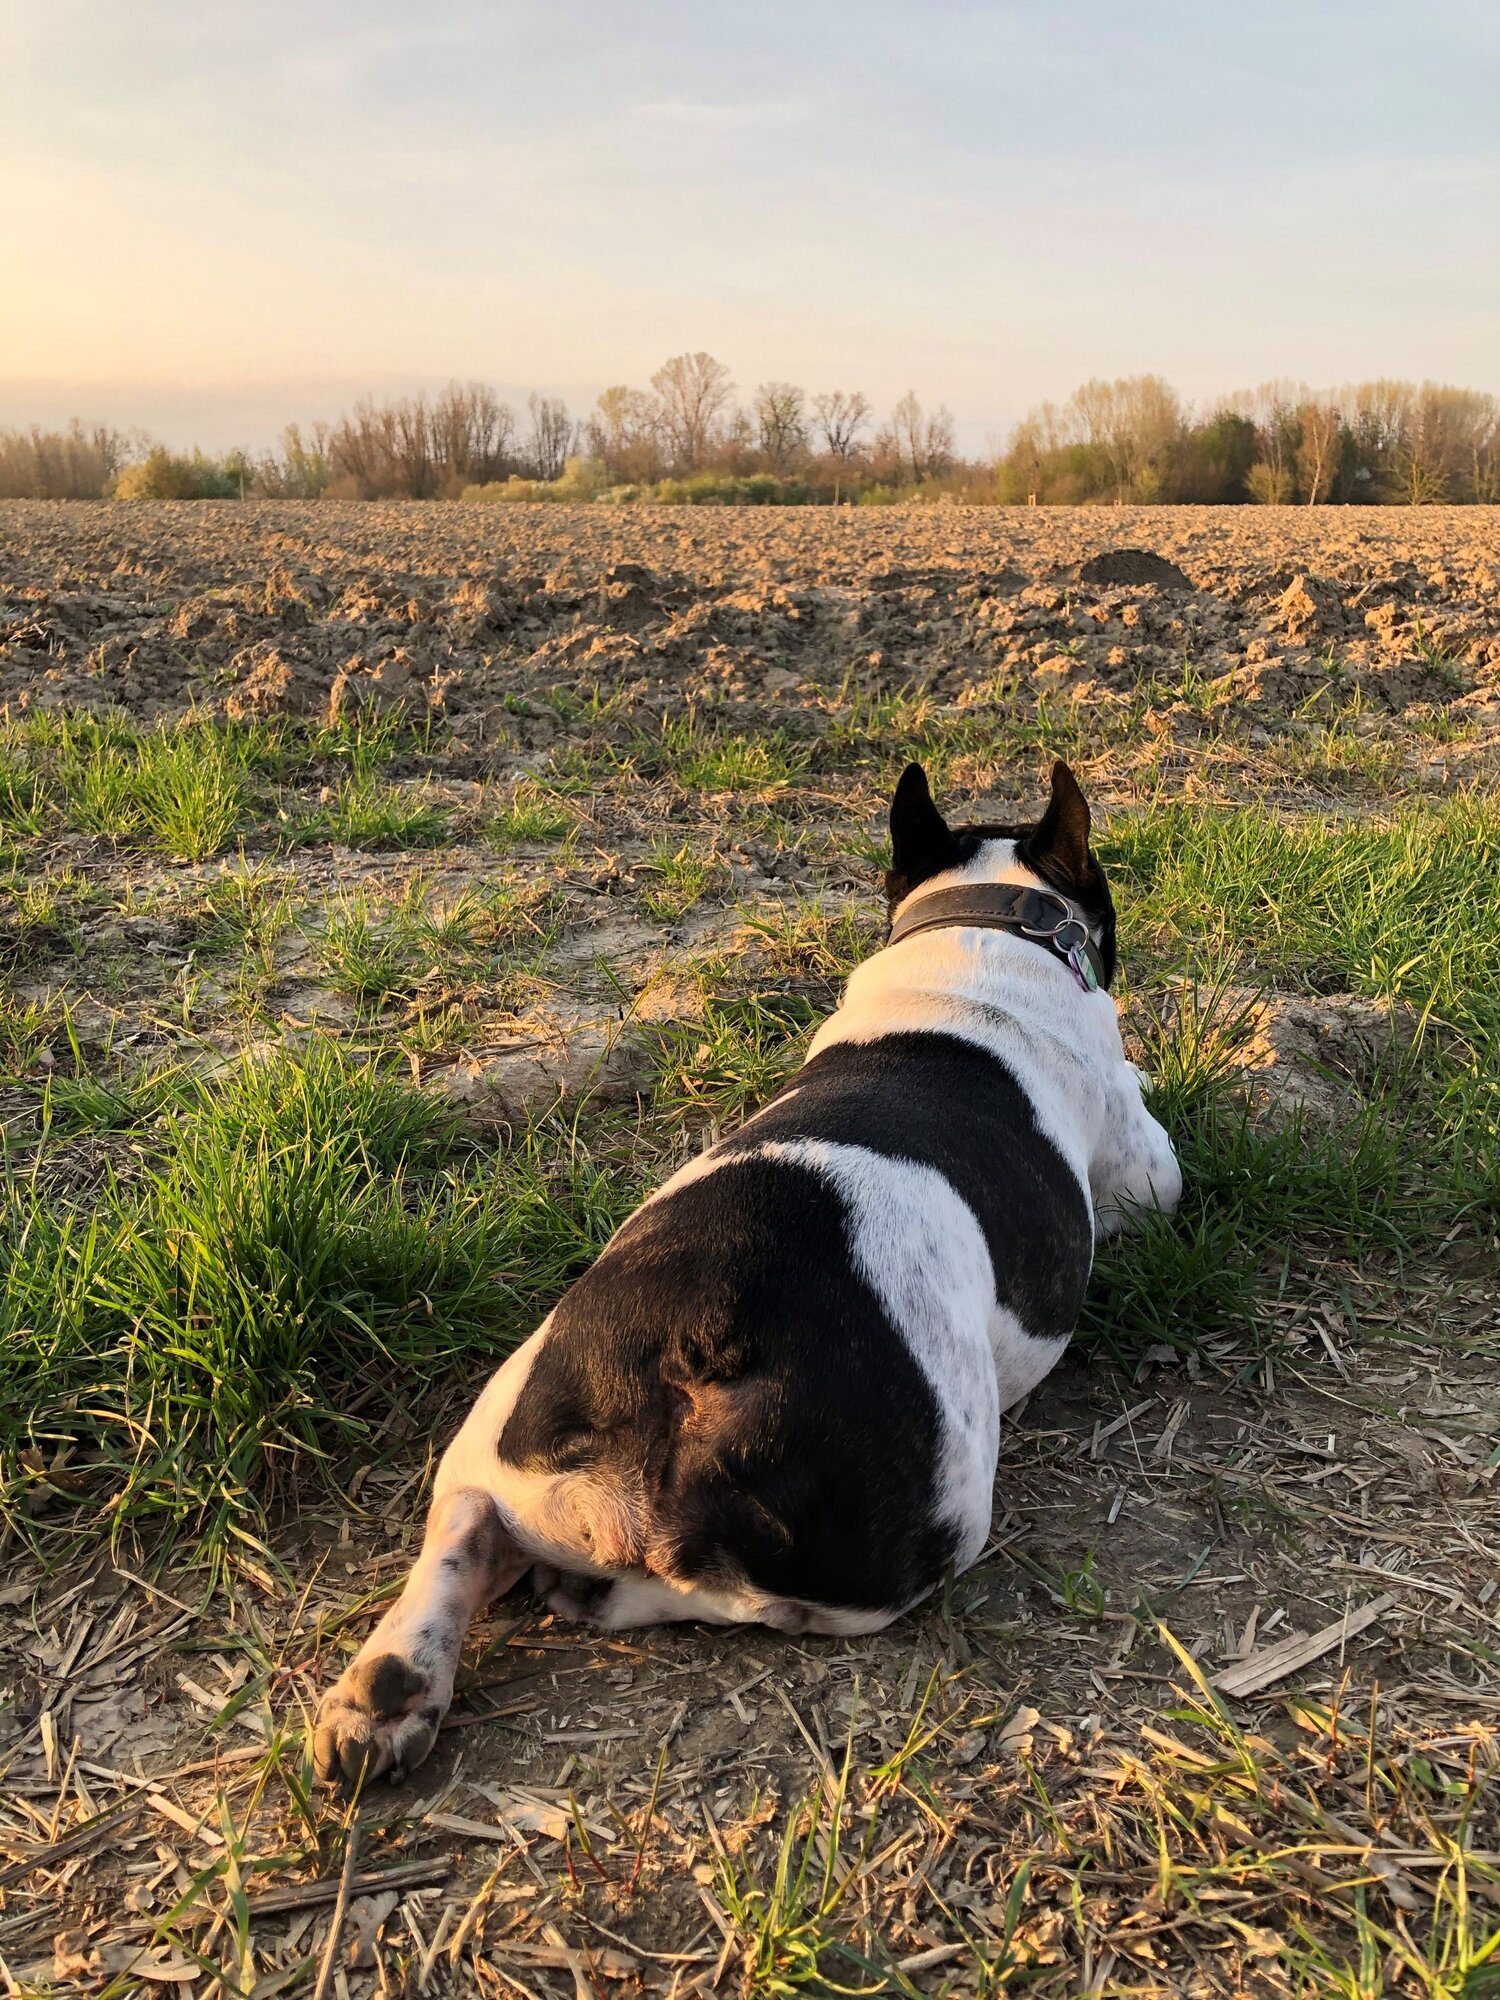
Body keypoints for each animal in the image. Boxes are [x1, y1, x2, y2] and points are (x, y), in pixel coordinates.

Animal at [314, 760, 1184, 1784]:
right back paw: (598, 1602)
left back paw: (388, 1690)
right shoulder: (1146, 1172)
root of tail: (701, 1338)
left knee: (461, 1523)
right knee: (750, 1597)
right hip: (925, 1519)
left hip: (514, 1406)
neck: (981, 929)